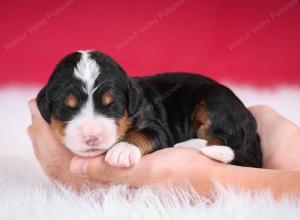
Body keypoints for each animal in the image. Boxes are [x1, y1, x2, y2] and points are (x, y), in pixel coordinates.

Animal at [37, 50, 262, 168]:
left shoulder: (158, 127)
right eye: (68, 108)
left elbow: (144, 134)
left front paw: (122, 150)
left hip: (215, 103)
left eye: (113, 105)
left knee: (221, 139)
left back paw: (187, 145)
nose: (92, 137)